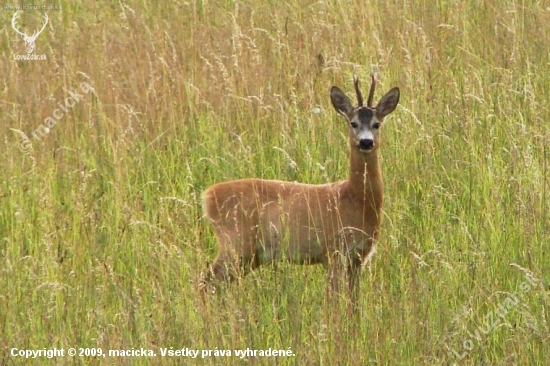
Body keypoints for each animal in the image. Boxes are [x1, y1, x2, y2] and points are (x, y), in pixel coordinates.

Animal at [203, 73, 402, 304]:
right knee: (206, 282)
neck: (354, 200)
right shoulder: (332, 252)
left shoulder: (358, 258)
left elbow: (354, 303)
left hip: (249, 255)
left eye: (376, 124)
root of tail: (206, 196)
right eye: (353, 123)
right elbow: (333, 301)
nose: (366, 142)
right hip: (236, 243)